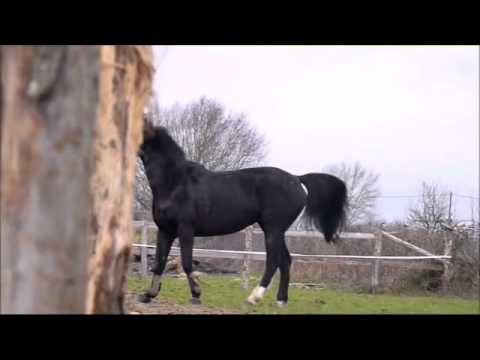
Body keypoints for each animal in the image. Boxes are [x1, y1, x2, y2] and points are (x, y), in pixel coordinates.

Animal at [137, 121, 346, 306]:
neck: (175, 182)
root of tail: (296, 178)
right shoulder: (165, 231)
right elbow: (159, 263)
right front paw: (148, 295)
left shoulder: (186, 229)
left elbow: (187, 262)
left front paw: (196, 294)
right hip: (276, 231)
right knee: (285, 260)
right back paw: (281, 301)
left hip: (273, 229)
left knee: (273, 261)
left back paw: (254, 298)